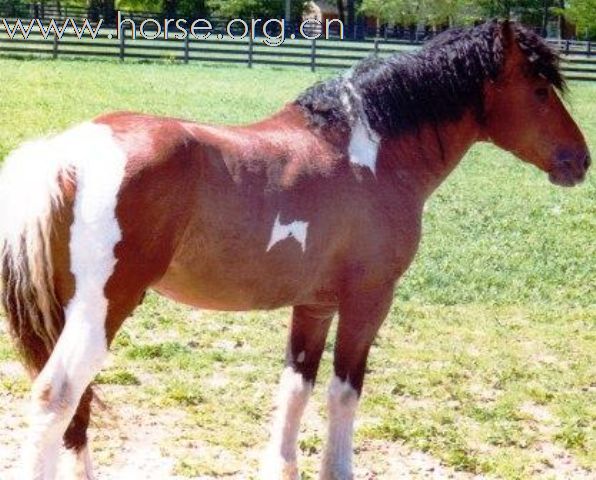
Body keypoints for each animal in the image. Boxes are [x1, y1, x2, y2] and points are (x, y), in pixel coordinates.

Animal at [0, 19, 588, 480]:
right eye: (540, 90)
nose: (580, 160)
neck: (371, 154)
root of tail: (68, 151)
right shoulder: (368, 301)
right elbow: (343, 392)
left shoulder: (315, 305)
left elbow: (295, 387)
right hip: (102, 310)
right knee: (57, 398)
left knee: (75, 413)